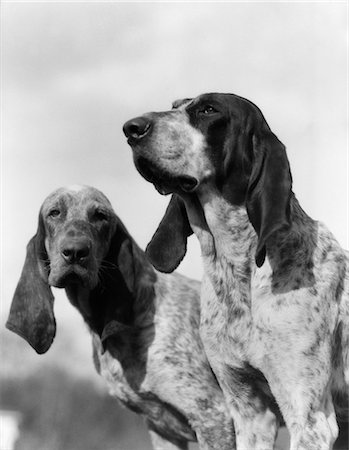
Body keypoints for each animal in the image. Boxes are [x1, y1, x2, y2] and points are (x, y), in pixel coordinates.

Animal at [123, 92, 348, 450]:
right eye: (173, 107)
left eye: (208, 110)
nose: (131, 128)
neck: (237, 273)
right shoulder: (248, 411)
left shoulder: (309, 419)